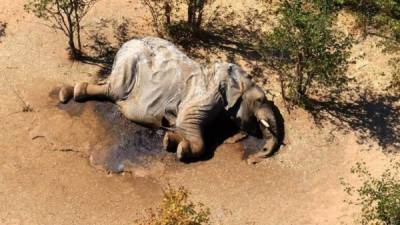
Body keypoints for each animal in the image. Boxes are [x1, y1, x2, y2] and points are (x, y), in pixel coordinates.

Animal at [59, 37, 284, 163]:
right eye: (260, 100)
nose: (255, 158)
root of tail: (125, 44)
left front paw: (169, 140)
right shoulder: (205, 97)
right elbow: (187, 125)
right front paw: (181, 150)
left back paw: (68, 92)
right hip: (129, 64)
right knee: (113, 90)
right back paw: (69, 94)